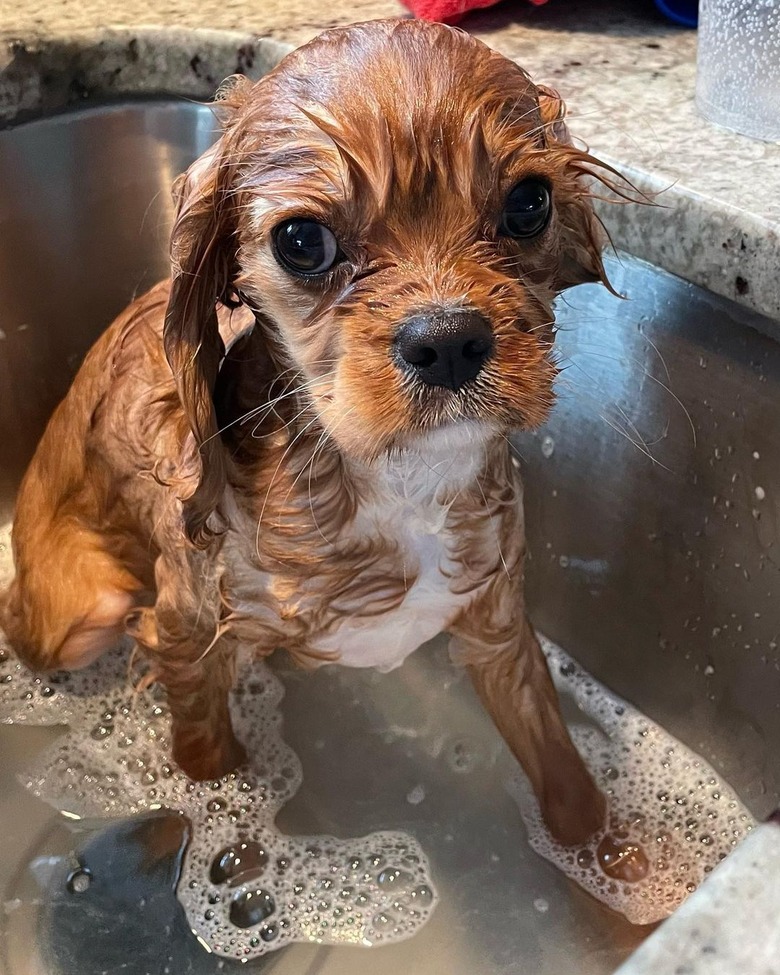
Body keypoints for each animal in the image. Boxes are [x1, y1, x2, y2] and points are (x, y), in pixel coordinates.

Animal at [1, 19, 620, 852]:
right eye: (302, 241)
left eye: (529, 202)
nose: (449, 341)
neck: (397, 486)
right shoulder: (186, 628)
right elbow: (205, 755)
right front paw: (218, 812)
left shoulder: (498, 627)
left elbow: (565, 777)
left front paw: (620, 862)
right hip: (84, 615)